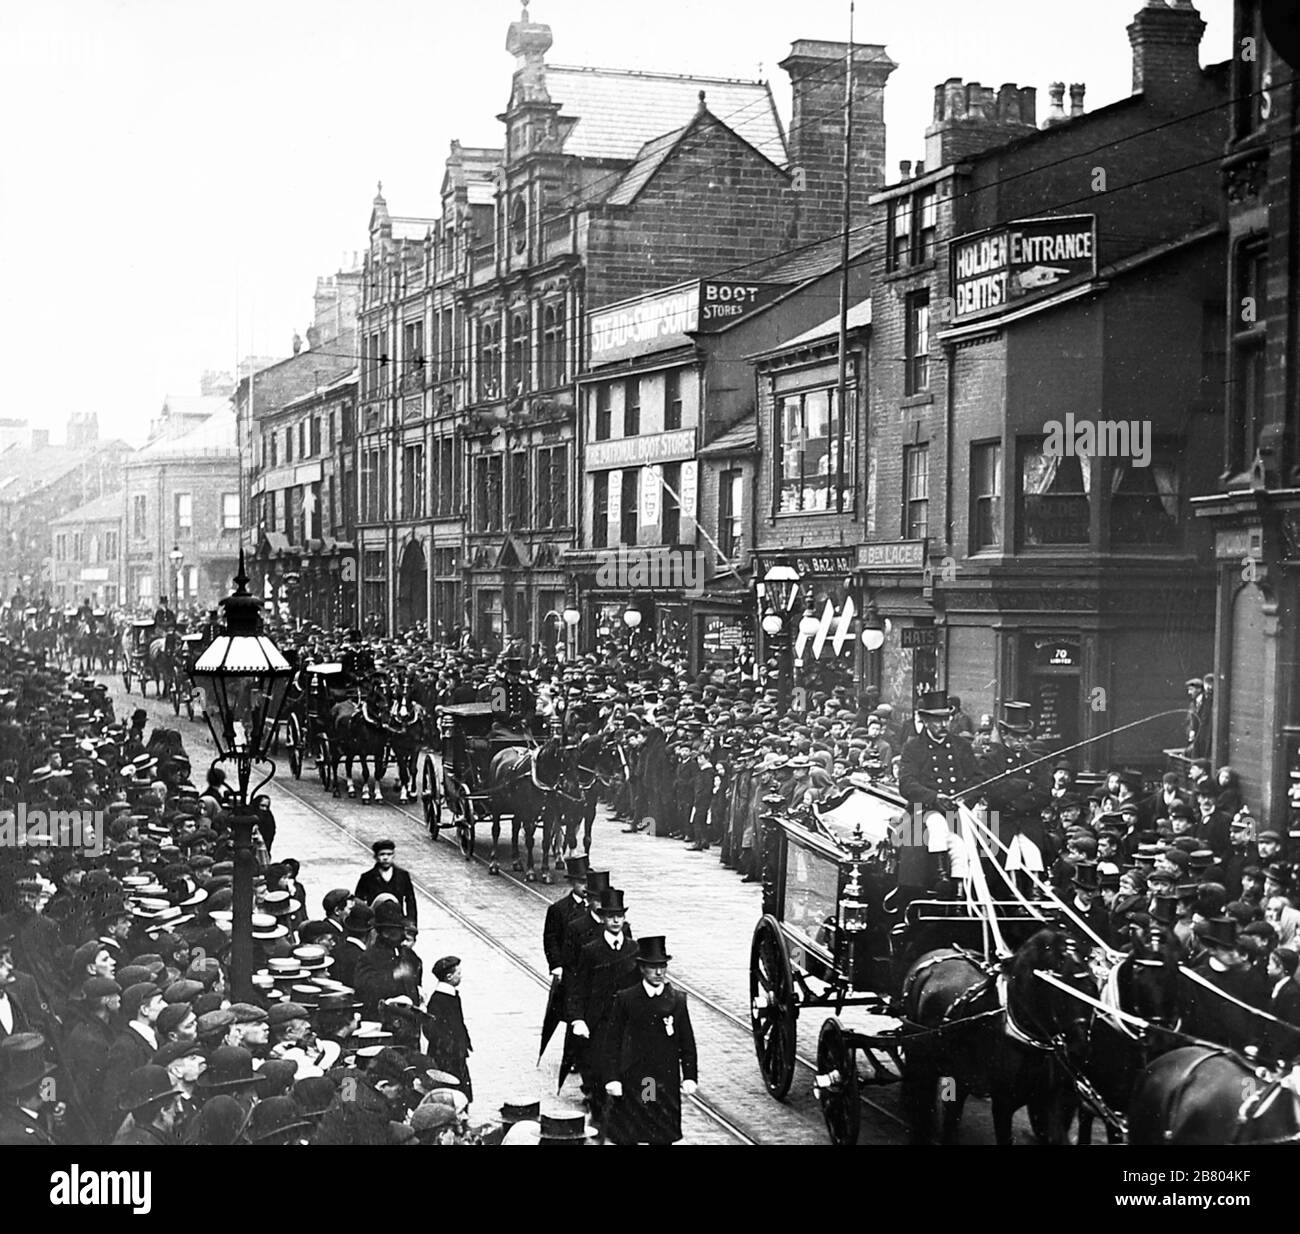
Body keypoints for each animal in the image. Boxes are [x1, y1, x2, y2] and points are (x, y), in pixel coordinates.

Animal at [486, 738, 566, 879]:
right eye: (563, 758)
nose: (566, 785)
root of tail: (499, 755)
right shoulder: (529, 813)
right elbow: (529, 841)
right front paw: (531, 871)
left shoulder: (549, 813)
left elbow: (546, 841)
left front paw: (546, 872)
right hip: (497, 804)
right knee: (496, 830)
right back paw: (494, 864)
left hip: (518, 808)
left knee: (515, 827)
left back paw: (517, 862)